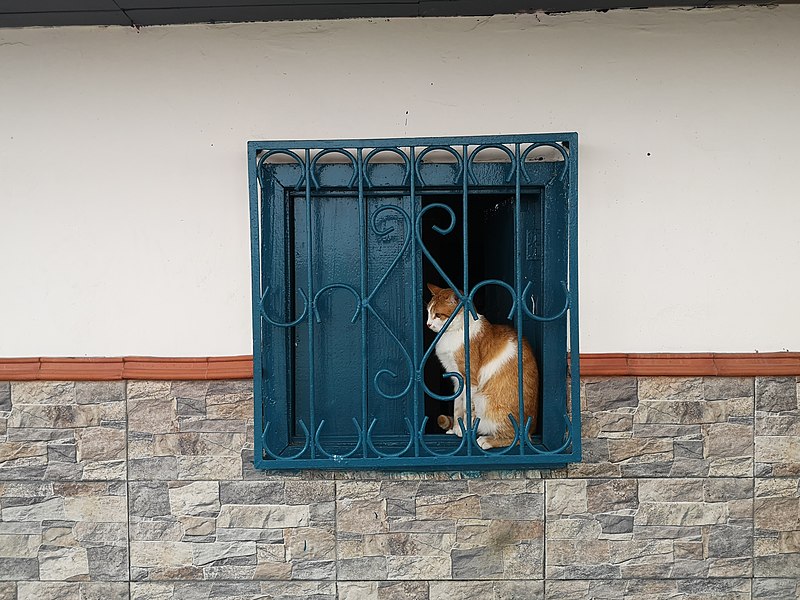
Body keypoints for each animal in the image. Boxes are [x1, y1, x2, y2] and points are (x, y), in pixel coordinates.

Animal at [424, 284, 536, 448]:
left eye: (438, 315)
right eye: (428, 313)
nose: (428, 324)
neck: (456, 332)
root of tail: (533, 428)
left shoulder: (469, 379)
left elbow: (466, 408)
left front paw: (463, 429)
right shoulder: (457, 378)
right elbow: (457, 406)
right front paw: (456, 428)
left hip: (487, 403)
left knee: (519, 438)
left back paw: (487, 440)